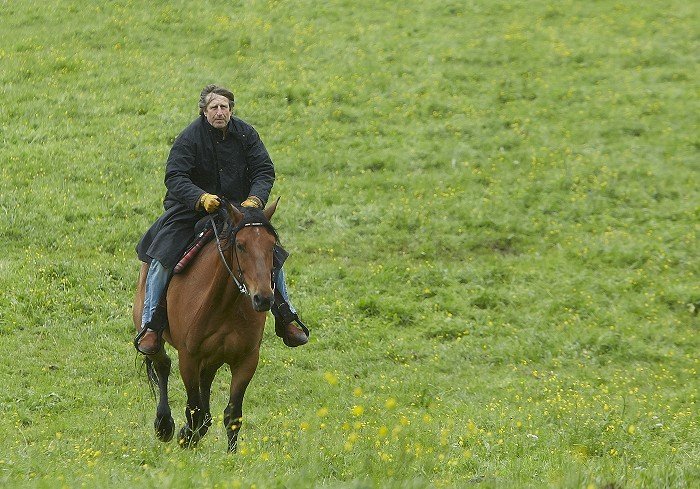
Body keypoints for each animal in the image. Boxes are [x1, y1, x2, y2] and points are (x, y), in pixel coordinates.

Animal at [133, 198, 280, 450]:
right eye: (240, 245)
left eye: (272, 246)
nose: (263, 299)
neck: (224, 304)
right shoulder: (189, 357)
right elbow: (193, 409)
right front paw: (186, 438)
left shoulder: (246, 360)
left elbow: (233, 415)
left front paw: (230, 455)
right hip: (153, 338)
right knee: (162, 364)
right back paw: (164, 425)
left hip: (212, 357)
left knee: (205, 381)